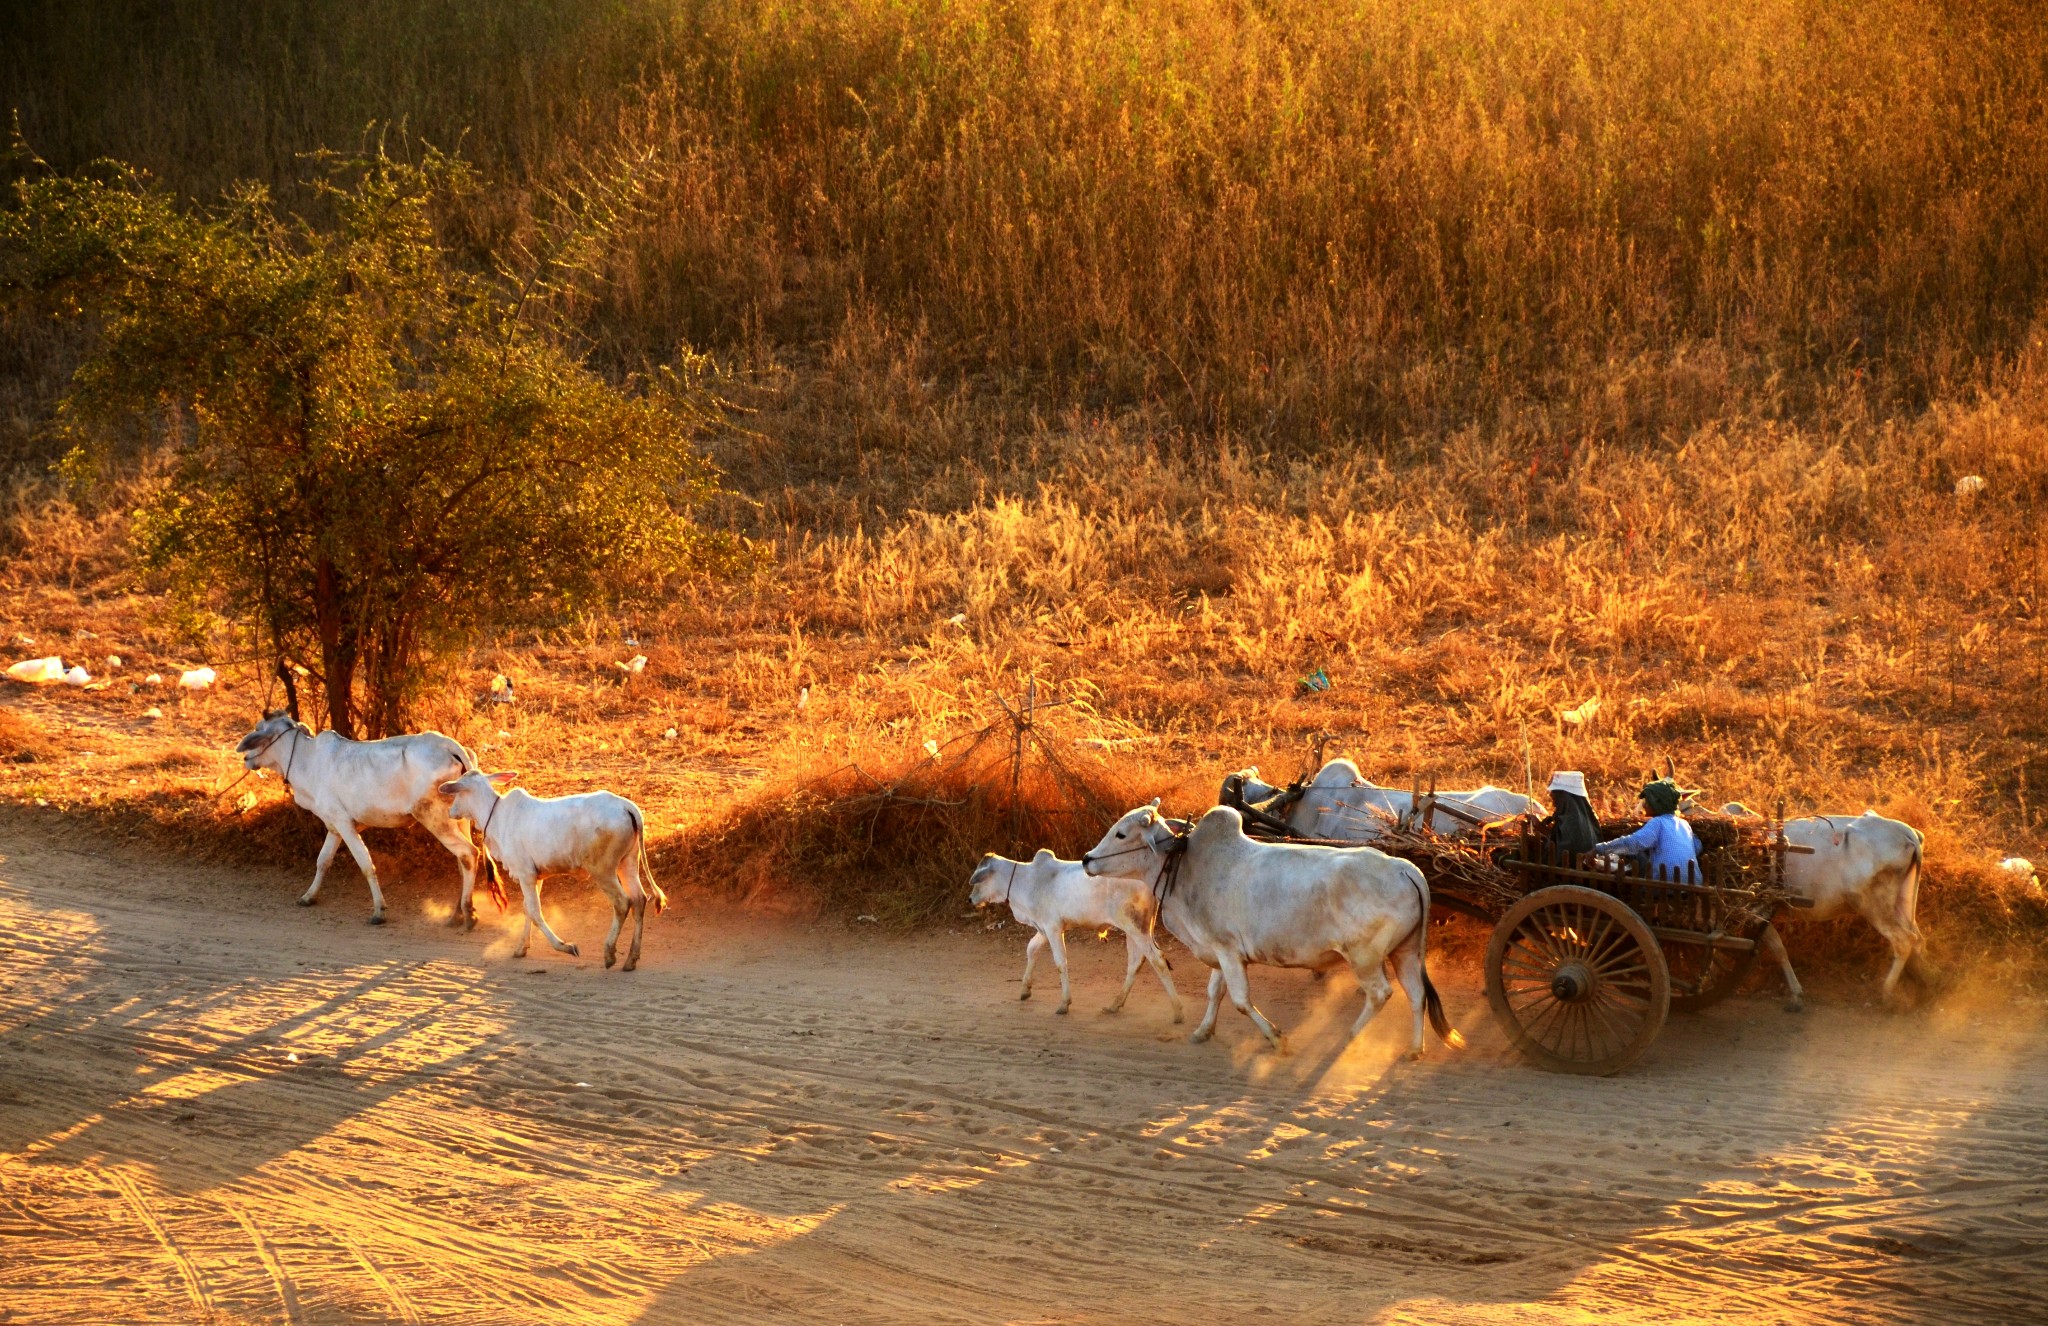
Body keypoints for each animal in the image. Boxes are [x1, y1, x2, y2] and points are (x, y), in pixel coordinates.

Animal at [235, 717, 479, 922]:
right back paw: (459, 910)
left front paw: (379, 910)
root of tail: (448, 744)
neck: (308, 761)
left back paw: (467, 912)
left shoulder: (344, 823)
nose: (246, 758)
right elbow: (323, 861)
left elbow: (366, 864)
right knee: (463, 860)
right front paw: (308, 897)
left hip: (433, 816)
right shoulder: (333, 826)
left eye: (258, 730)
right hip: (459, 819)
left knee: (468, 853)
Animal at [440, 766, 663, 975]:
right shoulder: (536, 877)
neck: (496, 816)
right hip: (628, 862)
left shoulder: (525, 874)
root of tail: (626, 806)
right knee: (639, 899)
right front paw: (521, 948)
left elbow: (535, 911)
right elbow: (527, 909)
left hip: (603, 870)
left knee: (622, 902)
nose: (451, 811)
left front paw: (565, 946)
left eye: (458, 791)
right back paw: (631, 959)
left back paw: (609, 953)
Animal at [970, 852, 1187, 1028]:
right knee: (1136, 962)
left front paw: (1064, 1003)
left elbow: (1060, 963)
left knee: (1157, 961)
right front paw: (1025, 990)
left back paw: (1177, 1011)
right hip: (1134, 931)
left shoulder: (1053, 928)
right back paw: (1115, 1004)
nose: (970, 899)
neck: (1027, 881)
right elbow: (1031, 949)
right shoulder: (1044, 929)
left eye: (979, 881)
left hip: (1135, 928)